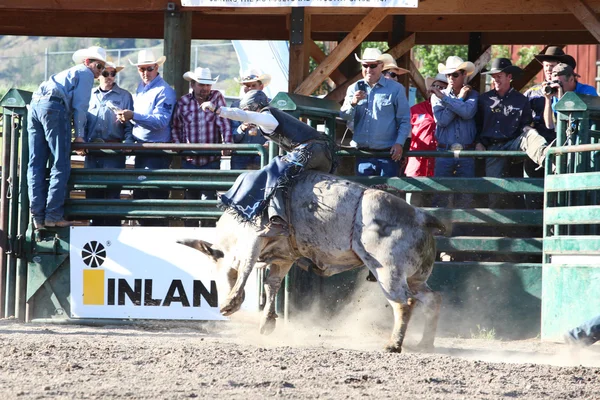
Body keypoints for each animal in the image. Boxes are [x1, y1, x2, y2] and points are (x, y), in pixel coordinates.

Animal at [176, 170, 442, 352]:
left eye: (218, 271)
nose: (221, 296)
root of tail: (420, 216)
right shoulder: (284, 256)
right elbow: (271, 284)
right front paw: (267, 322)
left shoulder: (254, 239)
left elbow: (247, 267)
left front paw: (230, 303)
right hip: (416, 276)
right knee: (431, 300)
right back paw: (425, 343)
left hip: (388, 272)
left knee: (404, 303)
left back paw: (393, 344)